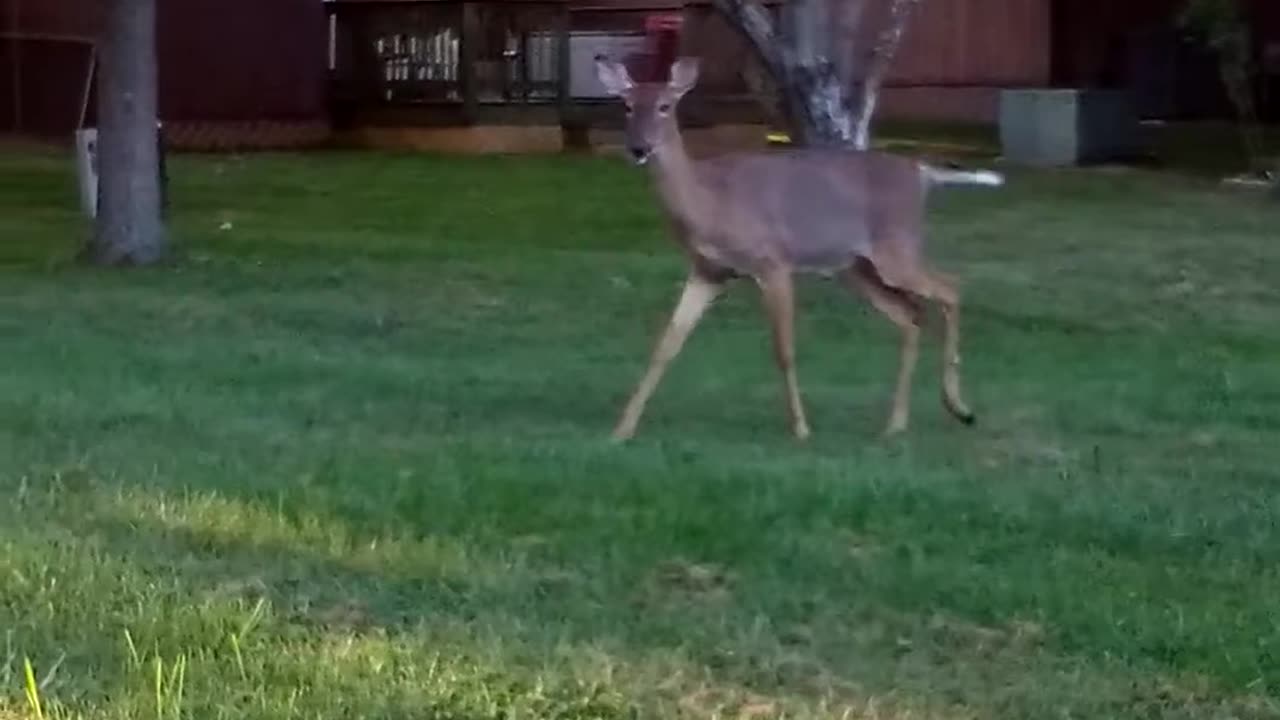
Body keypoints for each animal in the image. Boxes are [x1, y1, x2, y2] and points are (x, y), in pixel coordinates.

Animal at [593, 53, 1003, 440]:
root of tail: (922, 172)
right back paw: (896, 424)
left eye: (665, 105)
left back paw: (959, 407)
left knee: (951, 288)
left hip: (896, 246)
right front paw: (622, 430)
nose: (638, 148)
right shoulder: (709, 271)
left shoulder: (772, 260)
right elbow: (665, 347)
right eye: (627, 106)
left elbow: (784, 351)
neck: (710, 202)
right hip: (858, 266)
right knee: (911, 314)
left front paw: (801, 429)